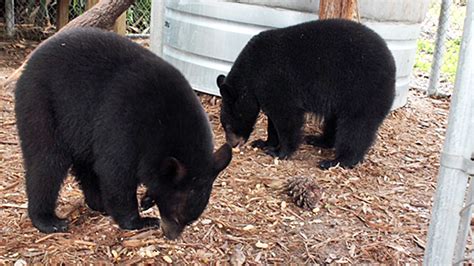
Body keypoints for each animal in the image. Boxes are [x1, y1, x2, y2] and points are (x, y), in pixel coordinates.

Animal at [12, 27, 231, 239]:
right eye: (177, 215)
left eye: (190, 220)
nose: (171, 236)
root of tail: (28, 64)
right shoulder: (123, 124)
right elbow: (116, 172)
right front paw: (140, 221)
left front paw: (147, 198)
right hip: (41, 104)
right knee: (47, 162)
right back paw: (49, 220)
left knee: (85, 164)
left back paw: (98, 203)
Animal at [218, 18, 396, 169]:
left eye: (228, 125)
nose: (231, 143)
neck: (252, 70)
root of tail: (392, 63)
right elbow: (273, 120)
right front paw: (264, 142)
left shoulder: (276, 81)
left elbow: (286, 117)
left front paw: (280, 151)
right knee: (335, 120)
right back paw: (319, 140)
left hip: (362, 90)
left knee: (356, 126)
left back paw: (336, 161)